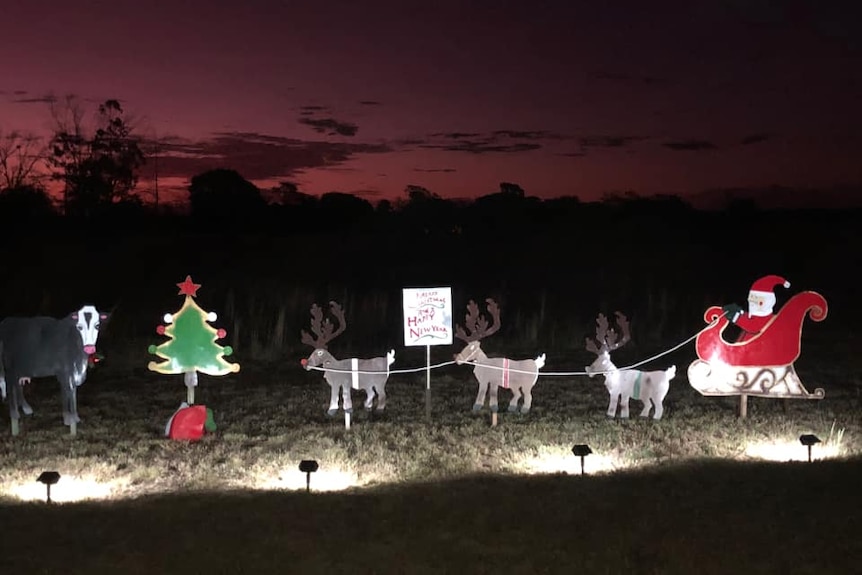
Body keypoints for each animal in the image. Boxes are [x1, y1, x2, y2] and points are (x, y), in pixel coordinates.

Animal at [0, 306, 109, 436]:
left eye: (97, 325)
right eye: (79, 326)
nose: (90, 348)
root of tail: (6, 321)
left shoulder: (73, 374)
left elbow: (73, 393)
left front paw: (75, 417)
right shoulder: (63, 372)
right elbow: (66, 392)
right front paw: (68, 418)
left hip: (20, 368)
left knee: (17, 386)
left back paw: (26, 409)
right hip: (9, 367)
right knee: (10, 386)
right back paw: (15, 414)